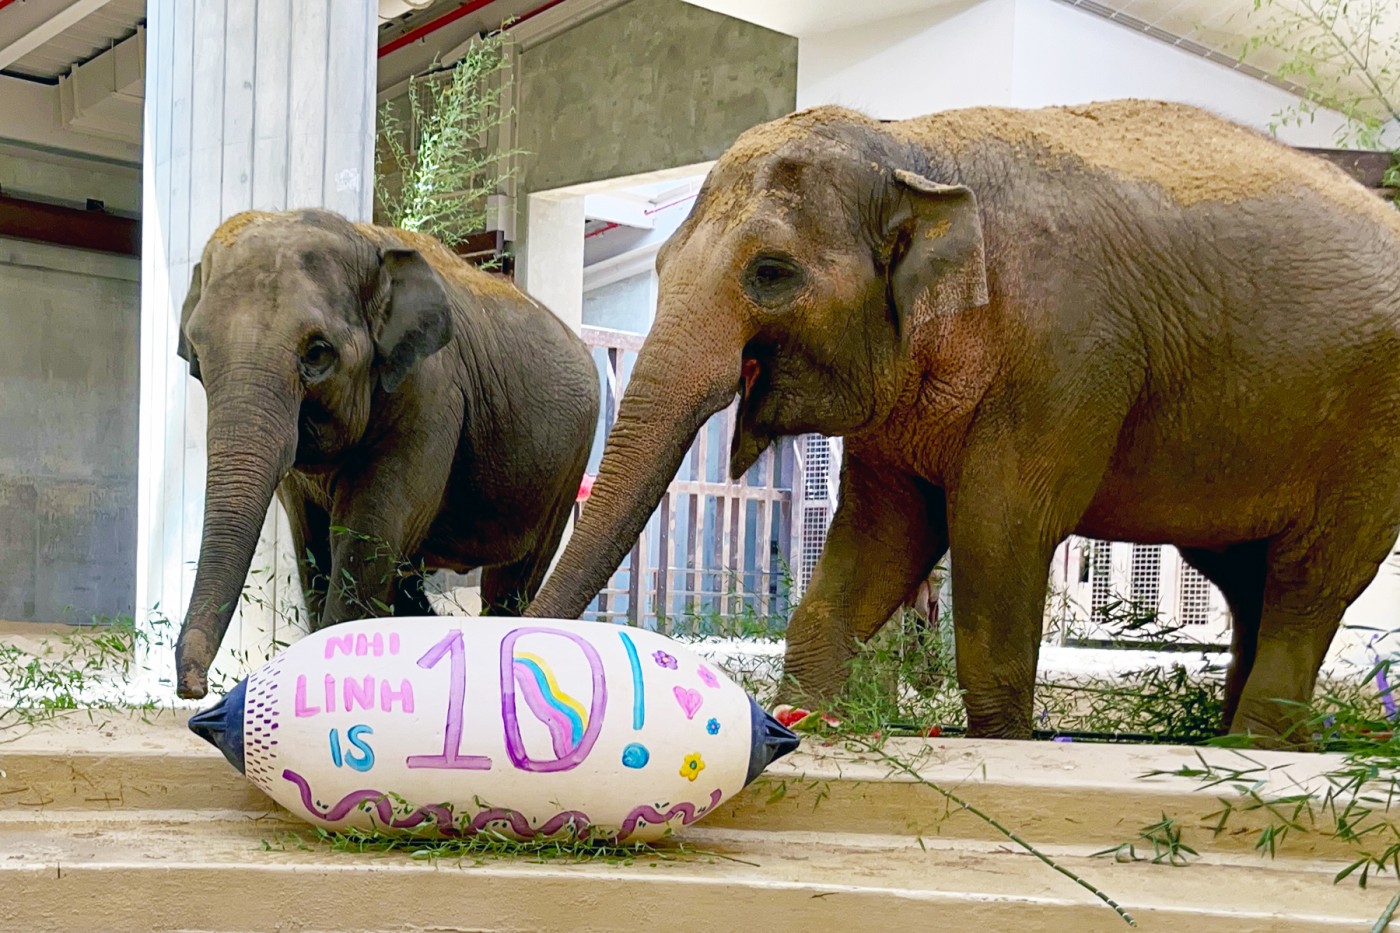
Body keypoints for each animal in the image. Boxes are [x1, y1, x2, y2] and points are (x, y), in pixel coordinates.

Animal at [172, 207, 599, 694]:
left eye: (317, 354)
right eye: (197, 359)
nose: (193, 687)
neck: (365, 241)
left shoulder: (430, 396)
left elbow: (367, 538)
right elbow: (315, 550)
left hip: (568, 468)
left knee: (511, 585)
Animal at [526, 100, 1400, 739]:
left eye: (771, 273)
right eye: (660, 264)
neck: (913, 148)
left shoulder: (1067, 357)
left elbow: (1000, 527)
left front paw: (1004, 740)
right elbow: (879, 535)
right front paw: (803, 716)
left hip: (1373, 437)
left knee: (1309, 581)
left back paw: (1250, 747)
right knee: (1246, 578)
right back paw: (1252, 741)